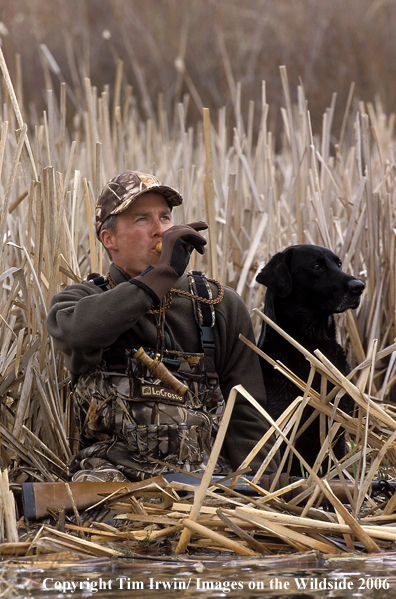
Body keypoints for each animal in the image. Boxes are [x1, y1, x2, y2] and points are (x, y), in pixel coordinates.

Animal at [256, 246, 366, 476]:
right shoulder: (282, 422)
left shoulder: (337, 427)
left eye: (339, 264)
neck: (314, 345)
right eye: (316, 266)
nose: (359, 286)